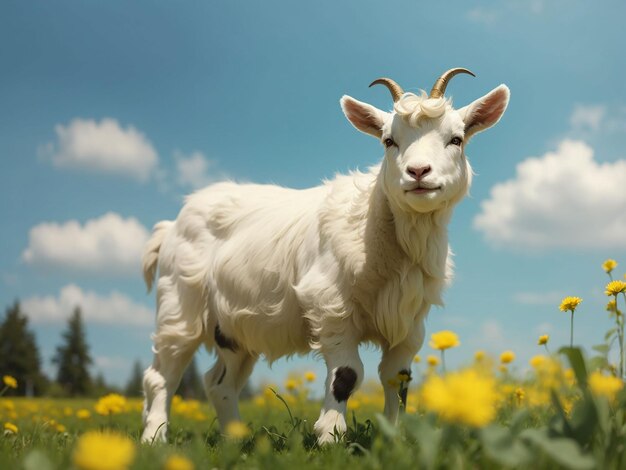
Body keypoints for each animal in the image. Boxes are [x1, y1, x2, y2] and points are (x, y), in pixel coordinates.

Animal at [140, 68, 508, 442]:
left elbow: (398, 379)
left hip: (233, 327)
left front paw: (393, 436)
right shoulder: (330, 305)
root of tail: (171, 226)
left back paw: (235, 439)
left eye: (457, 139)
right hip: (179, 303)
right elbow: (347, 374)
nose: (418, 172)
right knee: (162, 376)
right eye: (388, 141)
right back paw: (154, 438)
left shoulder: (409, 322)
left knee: (219, 383)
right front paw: (329, 435)